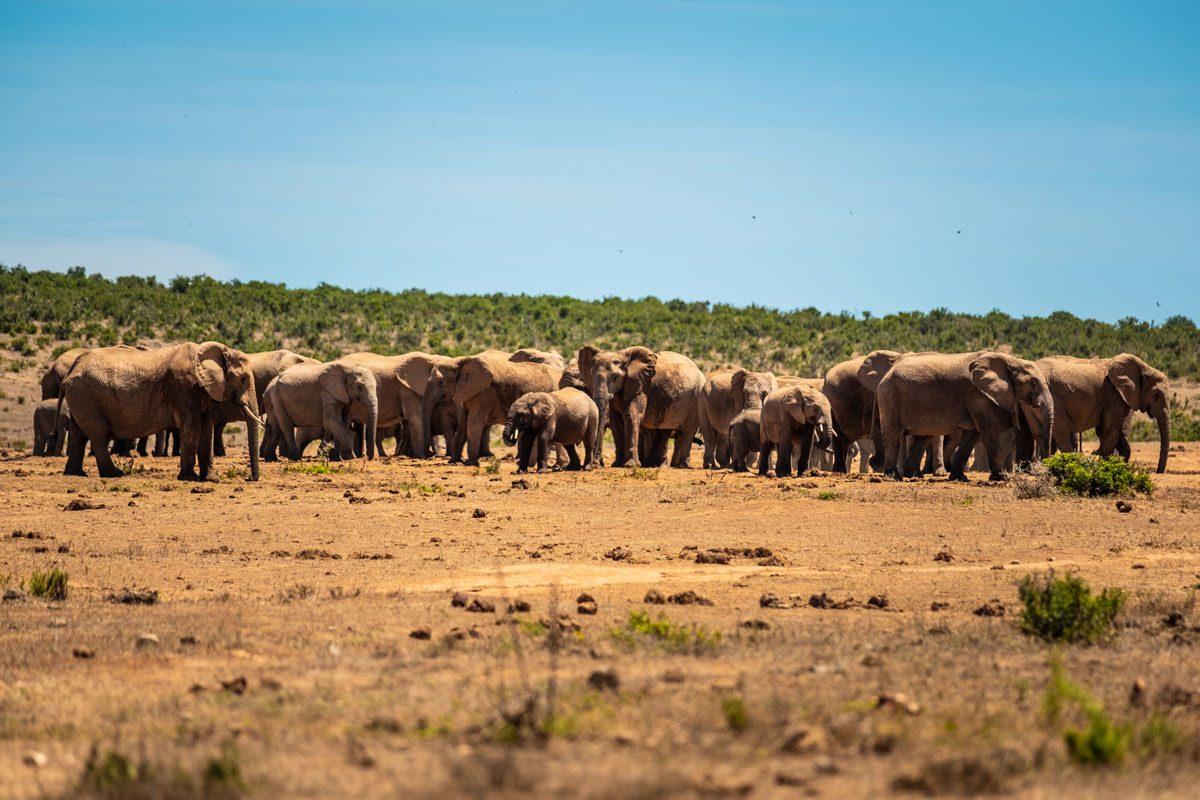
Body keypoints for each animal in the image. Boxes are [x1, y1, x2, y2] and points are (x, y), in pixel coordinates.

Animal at [62, 341, 262, 481]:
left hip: (80, 396)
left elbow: (207, 428)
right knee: (98, 436)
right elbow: (192, 426)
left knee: (78, 435)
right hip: (87, 395)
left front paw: (211, 479)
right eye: (243, 378)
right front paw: (190, 478)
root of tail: (72, 368)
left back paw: (75, 474)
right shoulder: (183, 386)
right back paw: (114, 474)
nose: (250, 478)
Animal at [874, 351, 1053, 482]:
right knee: (894, 436)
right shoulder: (977, 394)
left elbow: (972, 435)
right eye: (1033, 383)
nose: (1047, 472)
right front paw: (1001, 478)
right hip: (890, 396)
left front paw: (960, 478)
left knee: (920, 438)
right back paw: (894, 477)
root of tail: (885, 376)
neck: (1011, 361)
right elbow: (989, 430)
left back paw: (913, 476)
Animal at [1035, 354, 1170, 474]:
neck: (1143, 367)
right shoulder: (1113, 395)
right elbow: (1111, 430)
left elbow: (1116, 433)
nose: (1158, 471)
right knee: (1062, 432)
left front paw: (1120, 467)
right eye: (1156, 395)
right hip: (1055, 399)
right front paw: (1103, 469)